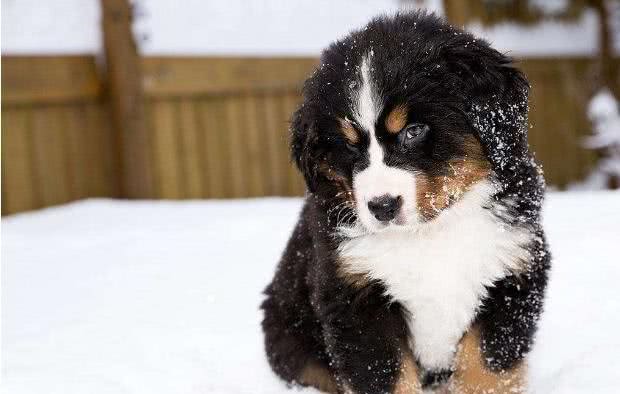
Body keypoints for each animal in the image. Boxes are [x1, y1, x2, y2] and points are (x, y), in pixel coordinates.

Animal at [260, 12, 548, 394]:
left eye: (413, 131)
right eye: (348, 145)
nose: (382, 206)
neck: (430, 233)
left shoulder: (512, 272)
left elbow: (485, 369)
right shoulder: (354, 298)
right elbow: (387, 374)